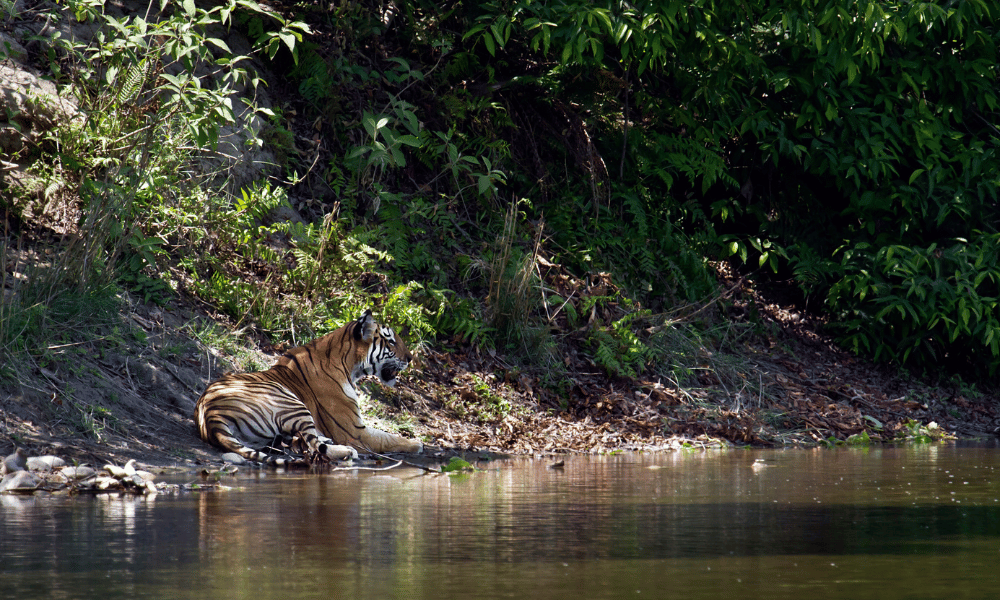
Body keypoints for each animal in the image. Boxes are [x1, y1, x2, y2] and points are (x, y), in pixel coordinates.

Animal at [192, 312, 422, 466]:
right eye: (391, 341)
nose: (411, 358)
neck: (349, 364)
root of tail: (209, 413)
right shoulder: (355, 431)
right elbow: (388, 437)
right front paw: (417, 444)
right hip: (291, 402)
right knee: (315, 446)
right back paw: (346, 451)